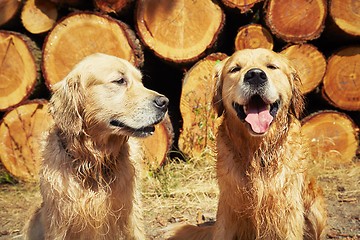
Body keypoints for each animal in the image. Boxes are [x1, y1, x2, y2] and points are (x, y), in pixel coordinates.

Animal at [24, 53, 169, 239]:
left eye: (141, 81)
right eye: (119, 81)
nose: (165, 102)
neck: (95, 162)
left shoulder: (130, 213)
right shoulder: (59, 220)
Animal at [169, 47, 326, 239]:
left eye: (271, 66)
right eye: (235, 69)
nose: (255, 75)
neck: (256, 152)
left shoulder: (288, 209)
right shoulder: (228, 206)